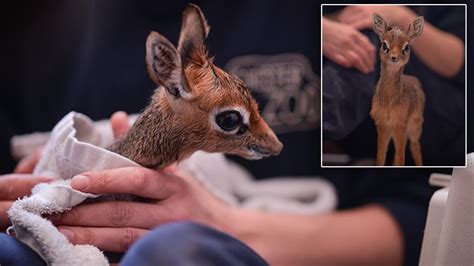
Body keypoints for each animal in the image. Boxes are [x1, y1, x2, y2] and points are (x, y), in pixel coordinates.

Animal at [370, 13, 426, 166]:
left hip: (415, 126)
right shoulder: (383, 126)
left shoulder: (401, 125)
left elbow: (401, 157)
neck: (389, 102)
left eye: (407, 47)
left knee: (414, 146)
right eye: (384, 44)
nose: (394, 57)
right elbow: (380, 156)